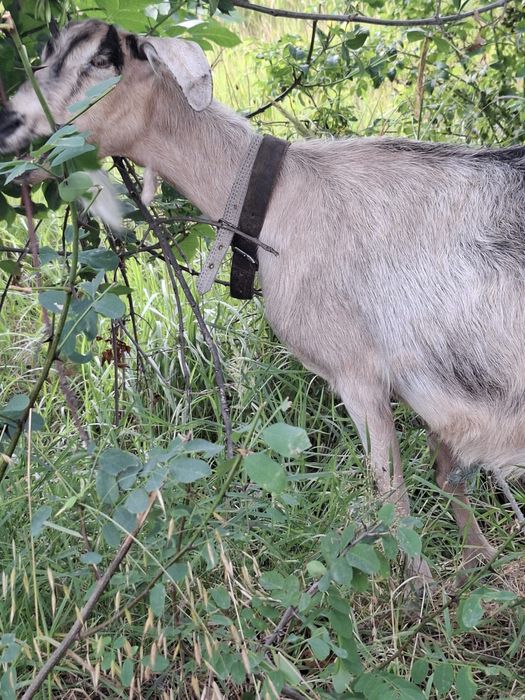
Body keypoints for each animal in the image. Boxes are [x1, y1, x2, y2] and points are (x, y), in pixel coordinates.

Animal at [2, 18, 525, 585]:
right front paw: (477, 564)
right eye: (48, 51)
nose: (9, 120)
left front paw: (419, 593)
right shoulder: (439, 387)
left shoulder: (359, 372)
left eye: (103, 60)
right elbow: (450, 475)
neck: (282, 199)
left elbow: (394, 498)